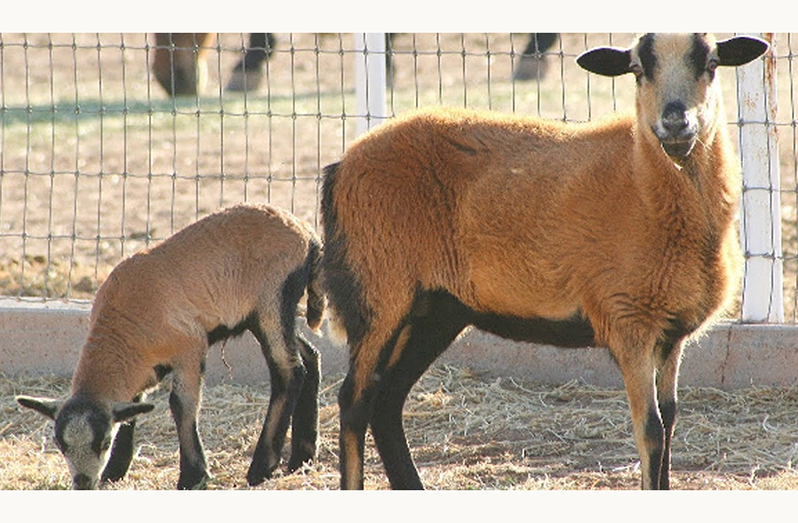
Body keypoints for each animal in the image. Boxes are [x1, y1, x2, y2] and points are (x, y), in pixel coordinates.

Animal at [15, 203, 324, 490]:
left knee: (289, 371)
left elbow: (182, 405)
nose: (83, 483)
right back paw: (302, 459)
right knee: (309, 356)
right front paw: (115, 471)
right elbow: (133, 407)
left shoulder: (190, 346)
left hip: (271, 299)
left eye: (103, 442)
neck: (122, 330)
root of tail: (307, 234)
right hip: (268, 314)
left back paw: (262, 467)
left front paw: (193, 476)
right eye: (60, 444)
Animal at [322, 32, 772, 492]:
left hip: (436, 308)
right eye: (637, 70)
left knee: (387, 400)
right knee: (355, 401)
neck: (642, 185)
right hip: (380, 291)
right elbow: (650, 431)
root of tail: (343, 165)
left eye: (711, 64)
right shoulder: (628, 323)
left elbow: (670, 423)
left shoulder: (669, 335)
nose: (675, 122)